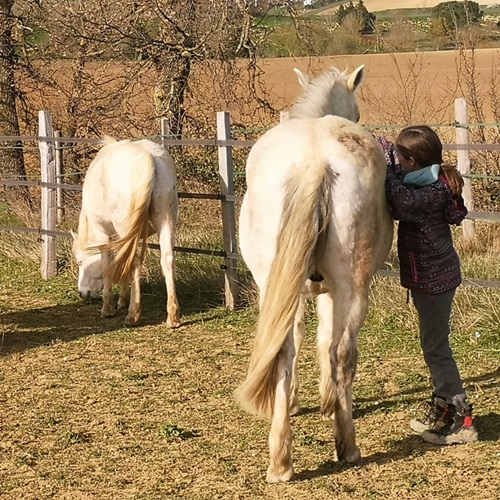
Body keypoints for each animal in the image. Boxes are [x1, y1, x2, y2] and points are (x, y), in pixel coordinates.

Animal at [70, 137, 180, 328]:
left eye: (80, 262)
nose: (82, 293)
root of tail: (149, 159)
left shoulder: (103, 234)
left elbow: (107, 263)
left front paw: (108, 307)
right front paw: (122, 299)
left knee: (134, 262)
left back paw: (133, 315)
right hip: (166, 223)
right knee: (167, 259)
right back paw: (172, 316)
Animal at [234, 64, 394, 482]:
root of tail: (314, 161)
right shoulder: (324, 293)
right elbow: (323, 340)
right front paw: (324, 400)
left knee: (288, 350)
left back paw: (282, 460)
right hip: (351, 288)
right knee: (342, 351)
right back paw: (345, 445)